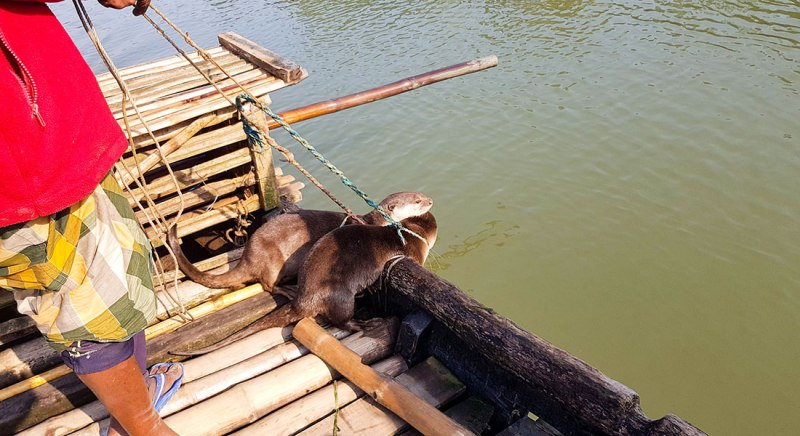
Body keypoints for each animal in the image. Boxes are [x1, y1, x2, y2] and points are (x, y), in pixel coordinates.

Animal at [166, 191, 434, 292]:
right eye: (417, 201)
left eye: (421, 195)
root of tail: (248, 257)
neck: (375, 221)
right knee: (266, 284)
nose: (431, 200)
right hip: (272, 259)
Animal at [170, 212, 440, 358]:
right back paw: (365, 323)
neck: (406, 233)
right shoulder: (415, 253)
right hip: (341, 297)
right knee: (340, 320)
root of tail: (304, 298)